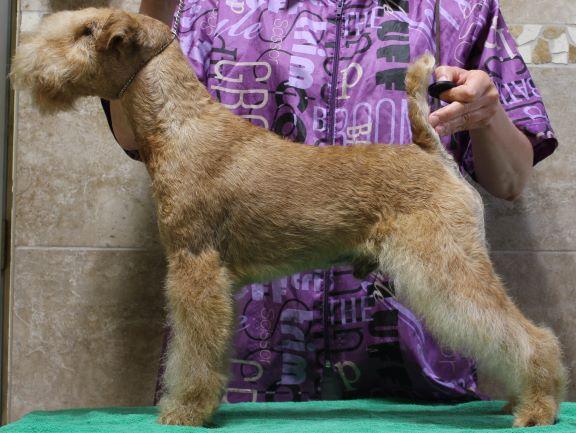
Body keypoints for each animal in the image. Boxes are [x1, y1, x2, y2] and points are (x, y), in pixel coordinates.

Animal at [10, 7, 567, 428]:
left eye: (86, 31)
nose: (23, 63)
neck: (178, 125)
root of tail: (432, 153)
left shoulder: (195, 264)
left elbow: (192, 350)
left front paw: (183, 410)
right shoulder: (207, 275)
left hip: (446, 263)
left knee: (525, 335)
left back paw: (536, 406)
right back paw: (520, 399)